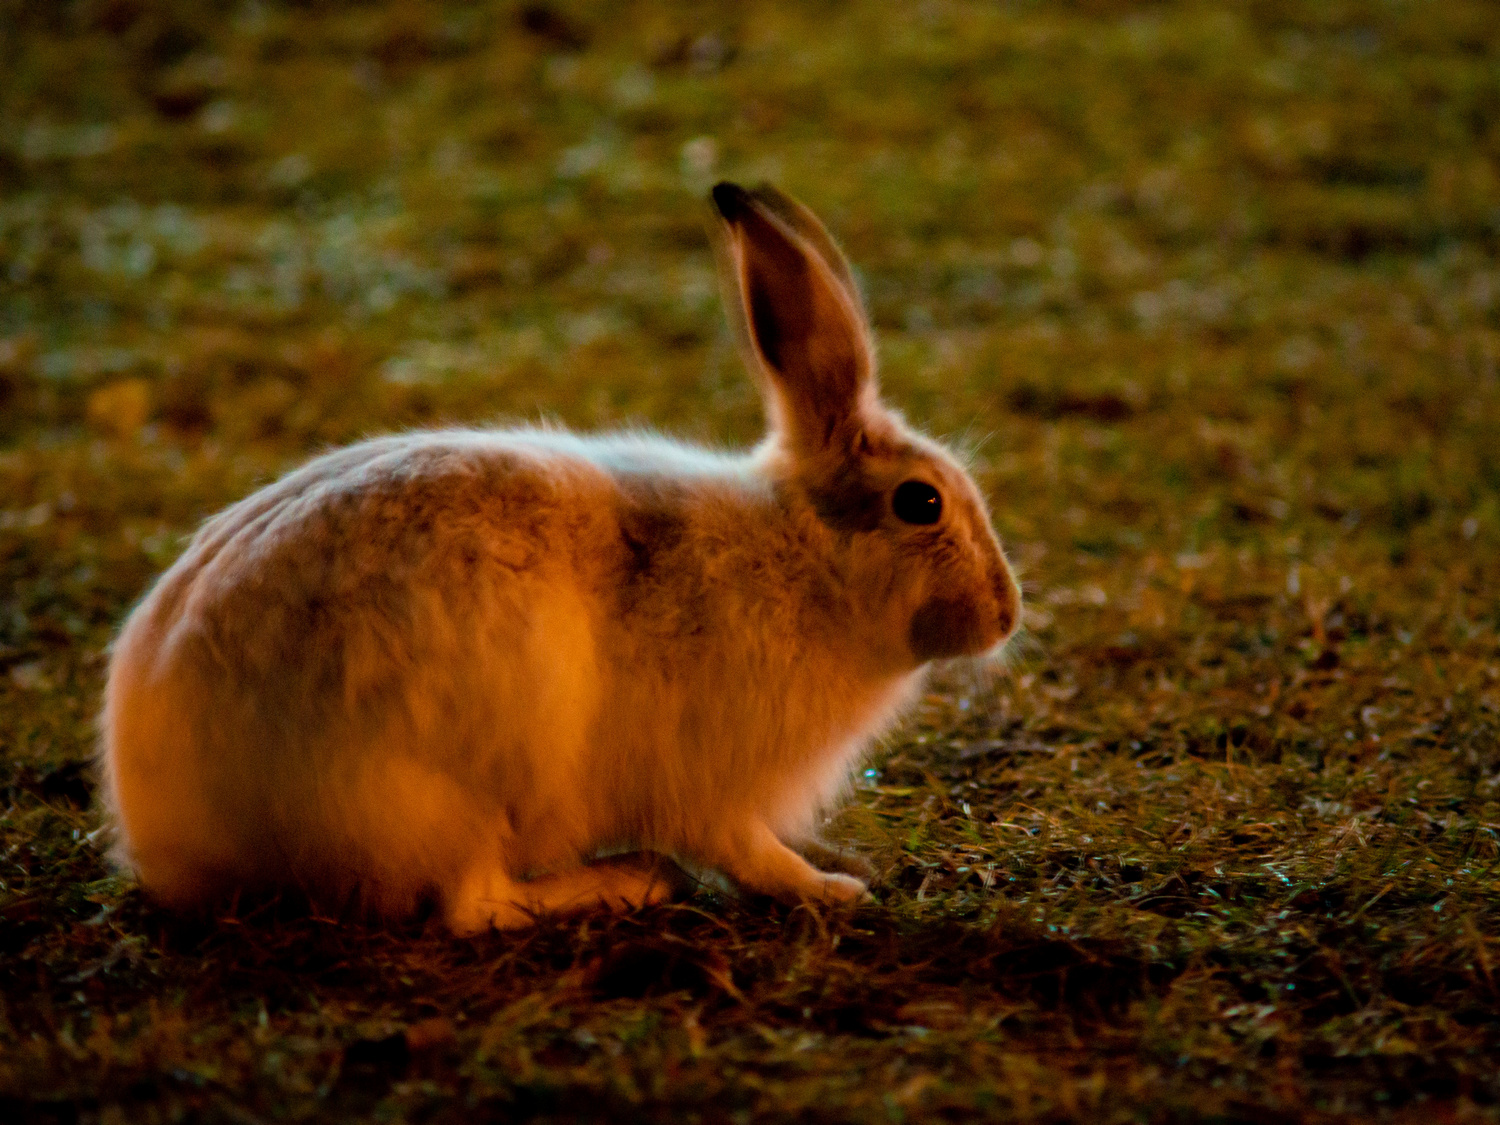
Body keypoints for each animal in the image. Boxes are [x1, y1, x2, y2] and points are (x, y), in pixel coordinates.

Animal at [99, 182, 1023, 934]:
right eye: (921, 503)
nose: (1006, 614)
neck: (806, 558)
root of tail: (172, 833)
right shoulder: (712, 784)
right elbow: (749, 851)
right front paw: (832, 889)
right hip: (463, 777)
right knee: (473, 906)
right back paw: (632, 880)